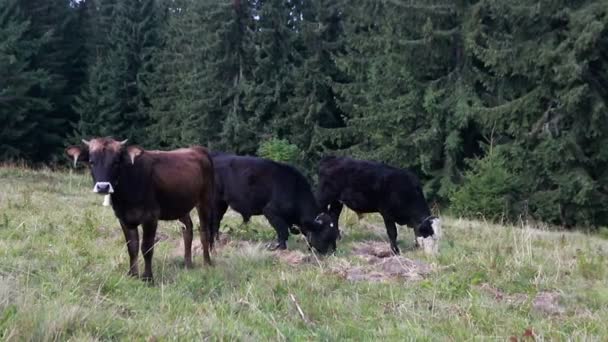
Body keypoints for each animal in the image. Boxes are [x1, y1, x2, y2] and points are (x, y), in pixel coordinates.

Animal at [66, 138, 214, 282]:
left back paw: (207, 263)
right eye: (92, 162)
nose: (103, 187)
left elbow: (147, 247)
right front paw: (132, 274)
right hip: (181, 204)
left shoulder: (150, 217)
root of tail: (198, 149)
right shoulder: (124, 218)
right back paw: (188, 263)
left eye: (116, 162)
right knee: (187, 228)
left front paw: (147, 277)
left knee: (204, 230)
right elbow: (132, 247)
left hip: (205, 200)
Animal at [211, 154, 340, 254]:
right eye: (325, 235)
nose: (332, 252)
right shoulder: (271, 211)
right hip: (217, 202)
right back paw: (216, 240)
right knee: (216, 221)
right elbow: (283, 232)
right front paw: (280, 248)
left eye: (335, 235)